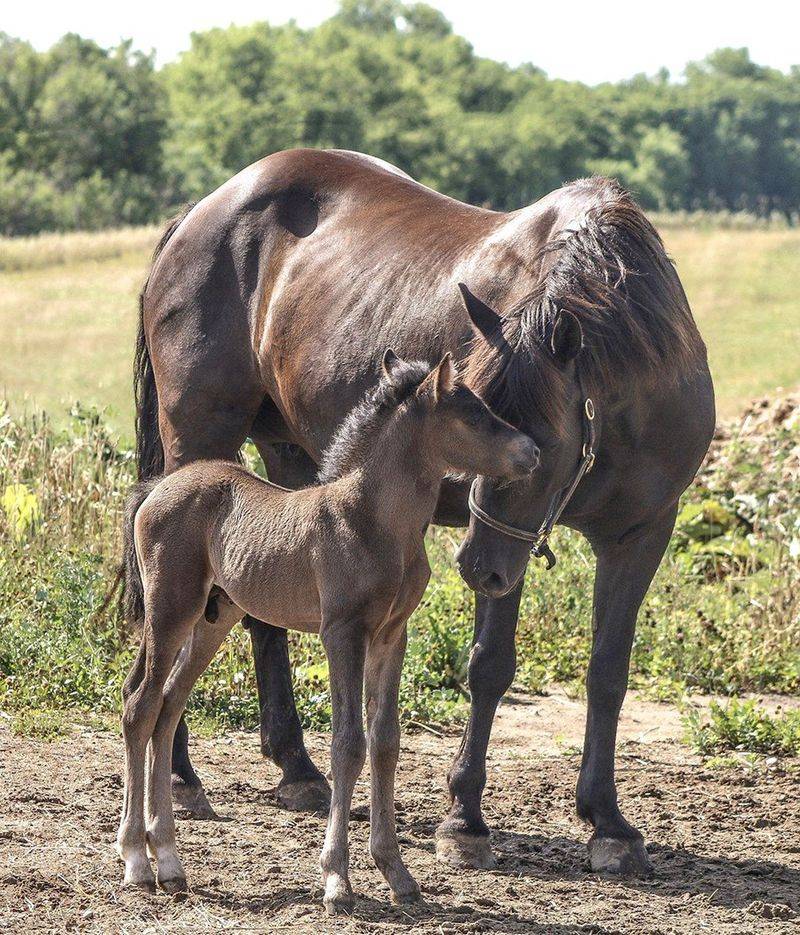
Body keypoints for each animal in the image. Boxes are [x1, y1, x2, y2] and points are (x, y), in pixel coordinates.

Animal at [115, 352, 536, 916]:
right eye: (472, 415)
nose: (531, 451)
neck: (374, 523)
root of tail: (155, 490)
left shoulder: (391, 636)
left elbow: (385, 741)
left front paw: (397, 873)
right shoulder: (342, 632)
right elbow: (348, 743)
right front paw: (337, 879)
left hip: (212, 619)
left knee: (168, 704)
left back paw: (170, 863)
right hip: (169, 611)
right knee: (140, 704)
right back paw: (137, 863)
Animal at [134, 148, 716, 876]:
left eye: (543, 439)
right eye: (475, 405)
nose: (471, 565)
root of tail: (200, 214)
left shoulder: (638, 533)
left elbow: (608, 670)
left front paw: (608, 821)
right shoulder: (509, 547)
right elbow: (490, 665)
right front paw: (465, 817)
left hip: (291, 458)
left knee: (258, 613)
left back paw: (297, 769)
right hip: (201, 442)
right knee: (174, 637)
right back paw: (182, 777)